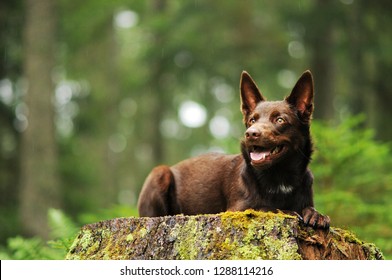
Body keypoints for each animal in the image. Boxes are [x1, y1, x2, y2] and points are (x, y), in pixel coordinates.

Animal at [138, 69, 330, 228]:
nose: (251, 133)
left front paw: (316, 215)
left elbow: (308, 208)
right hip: (160, 172)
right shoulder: (237, 209)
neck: (279, 177)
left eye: (280, 120)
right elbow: (264, 207)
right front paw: (288, 211)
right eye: (252, 120)